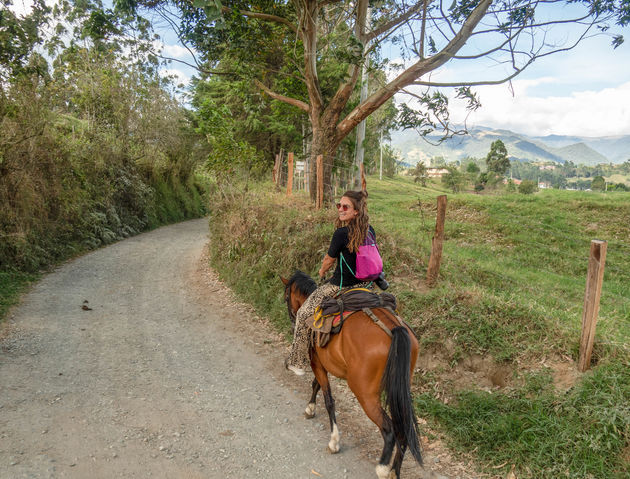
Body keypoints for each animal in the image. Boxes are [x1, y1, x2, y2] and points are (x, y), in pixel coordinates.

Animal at [282, 272, 424, 478]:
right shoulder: (322, 363)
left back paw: (383, 468)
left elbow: (329, 400)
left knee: (389, 430)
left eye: (286, 297)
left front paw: (334, 441)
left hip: (364, 392)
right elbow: (316, 385)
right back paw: (394, 471)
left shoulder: (316, 362)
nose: (293, 320)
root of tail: (395, 329)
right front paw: (310, 408)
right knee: (402, 429)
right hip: (399, 390)